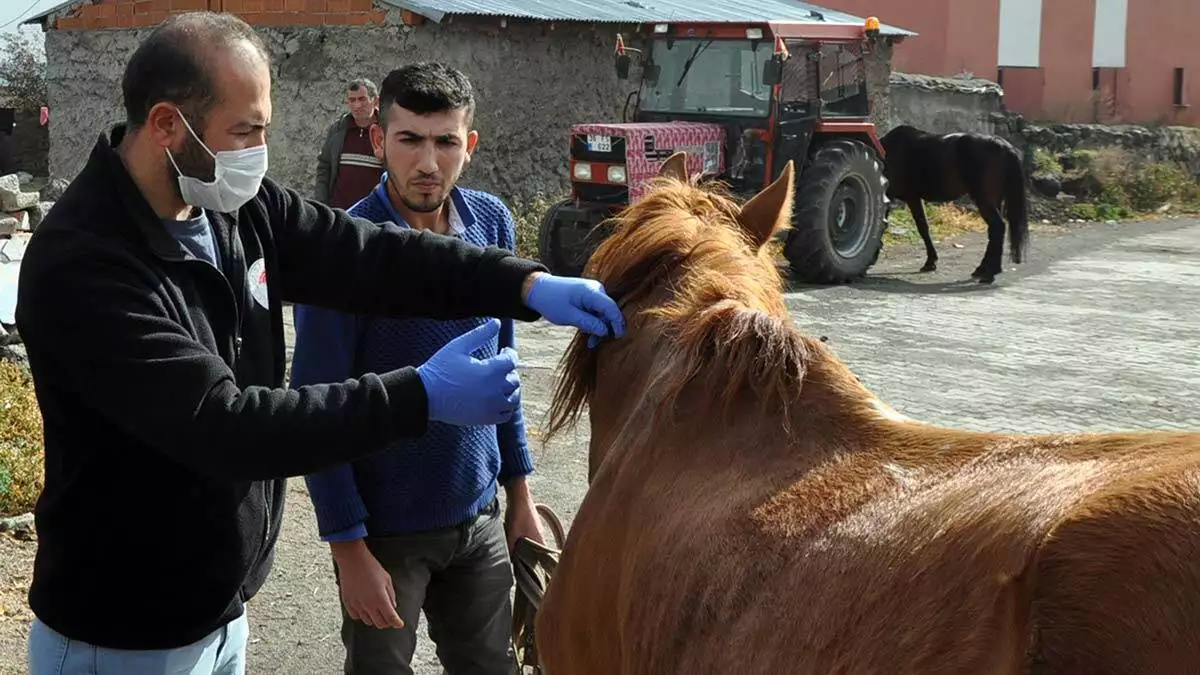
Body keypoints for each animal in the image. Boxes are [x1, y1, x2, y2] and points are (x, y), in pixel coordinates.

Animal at [878, 123, 1027, 281]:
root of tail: (1002, 145)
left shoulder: (890, 195)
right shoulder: (913, 197)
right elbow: (923, 227)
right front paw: (931, 261)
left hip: (984, 198)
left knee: (998, 226)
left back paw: (990, 273)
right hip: (994, 199)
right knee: (993, 230)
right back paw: (983, 269)